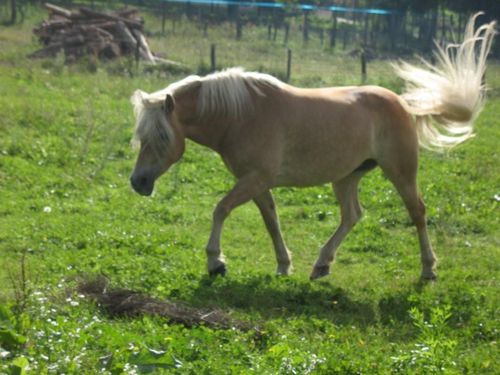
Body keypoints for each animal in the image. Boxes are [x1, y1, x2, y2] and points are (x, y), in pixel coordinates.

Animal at [130, 14, 496, 280]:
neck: (242, 114)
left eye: (161, 138)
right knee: (352, 215)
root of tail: (404, 105)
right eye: (140, 137)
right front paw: (283, 265)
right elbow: (271, 220)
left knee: (417, 212)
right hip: (347, 177)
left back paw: (428, 269)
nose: (138, 182)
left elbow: (220, 209)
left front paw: (215, 262)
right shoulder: (256, 182)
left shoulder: (253, 180)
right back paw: (321, 265)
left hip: (400, 172)